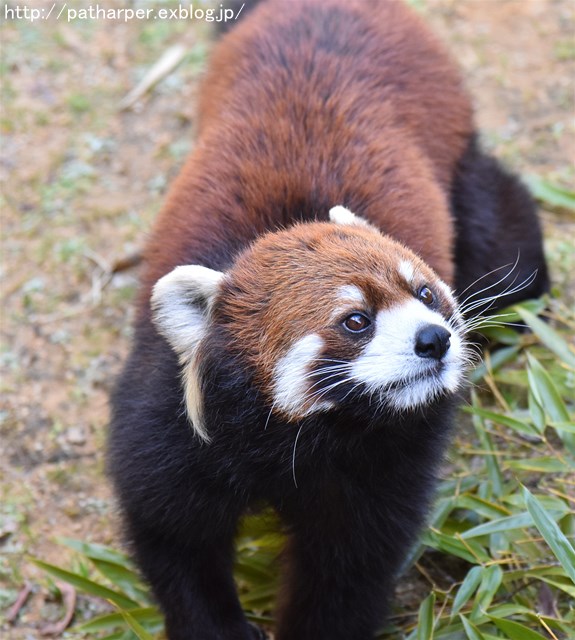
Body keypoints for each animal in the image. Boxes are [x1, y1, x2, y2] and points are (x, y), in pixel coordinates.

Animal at [108, 1, 548, 640]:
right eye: (356, 320)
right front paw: (215, 625)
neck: (301, 435)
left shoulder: (387, 461)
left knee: (500, 228)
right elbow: (173, 539)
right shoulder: (167, 424)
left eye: (425, 292)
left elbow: (349, 567)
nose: (434, 339)